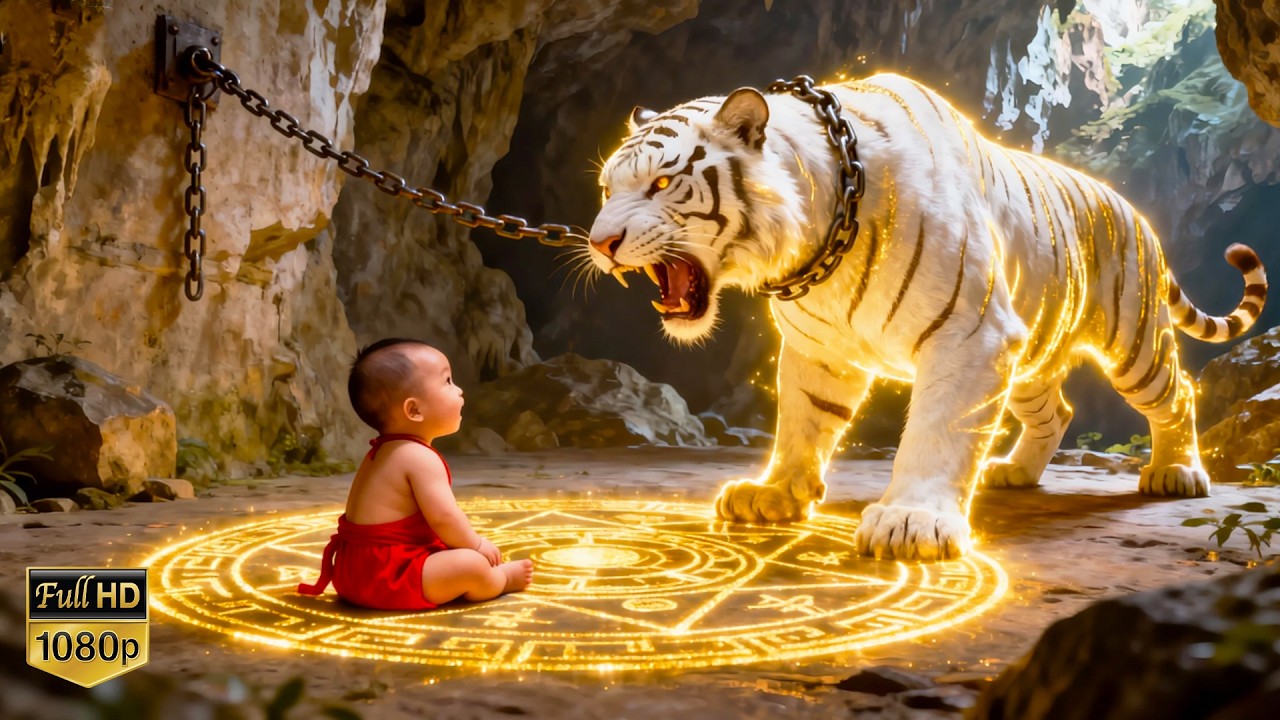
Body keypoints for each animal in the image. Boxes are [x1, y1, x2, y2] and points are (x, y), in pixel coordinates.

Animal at [585, 72, 1268, 562]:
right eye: (607, 189)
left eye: (663, 183)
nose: (600, 243)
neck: (818, 243)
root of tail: (1134, 211)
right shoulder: (820, 351)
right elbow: (802, 424)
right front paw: (774, 493)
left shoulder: (969, 333)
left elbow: (937, 432)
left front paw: (910, 520)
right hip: (1034, 350)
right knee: (1058, 413)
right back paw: (1013, 471)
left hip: (1134, 340)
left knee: (1176, 394)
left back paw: (1176, 472)